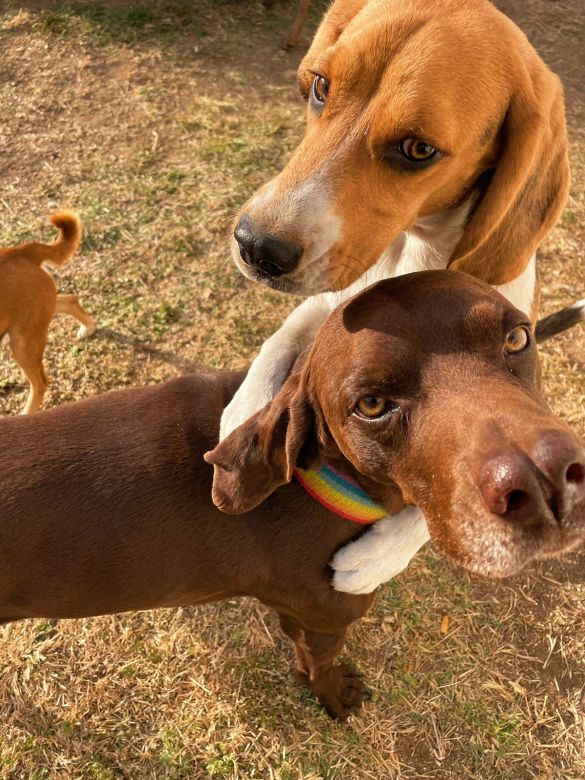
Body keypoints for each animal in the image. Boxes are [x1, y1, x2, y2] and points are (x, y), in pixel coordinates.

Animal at [0, 210, 96, 412]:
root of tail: (20, 251)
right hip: (41, 310)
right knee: (70, 300)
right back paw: (89, 327)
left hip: (23, 342)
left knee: (40, 383)